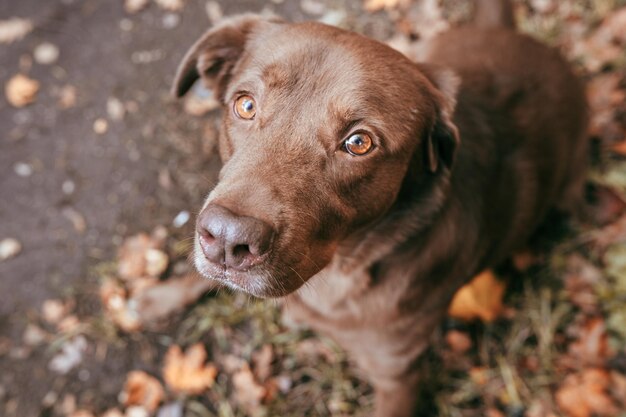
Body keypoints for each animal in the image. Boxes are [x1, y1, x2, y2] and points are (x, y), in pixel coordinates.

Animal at [172, 1, 584, 414]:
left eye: (359, 142)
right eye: (245, 105)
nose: (227, 239)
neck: (340, 271)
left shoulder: (397, 376)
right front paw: (161, 298)